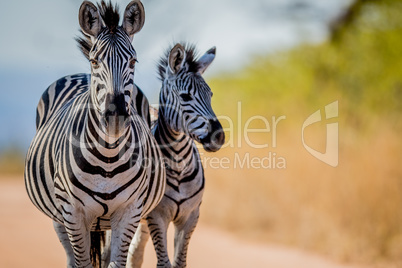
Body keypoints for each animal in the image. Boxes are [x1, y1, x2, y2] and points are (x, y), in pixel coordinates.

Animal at [23, 1, 166, 266]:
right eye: (95, 61)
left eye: (133, 62)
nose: (115, 117)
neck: (108, 158)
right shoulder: (72, 212)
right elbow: (82, 262)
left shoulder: (130, 211)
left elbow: (116, 261)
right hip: (58, 217)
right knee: (71, 257)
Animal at [127, 43, 225, 268]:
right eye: (185, 97)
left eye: (211, 95)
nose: (219, 136)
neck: (179, 163)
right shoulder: (157, 217)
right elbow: (164, 263)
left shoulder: (190, 217)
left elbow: (180, 262)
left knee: (134, 254)